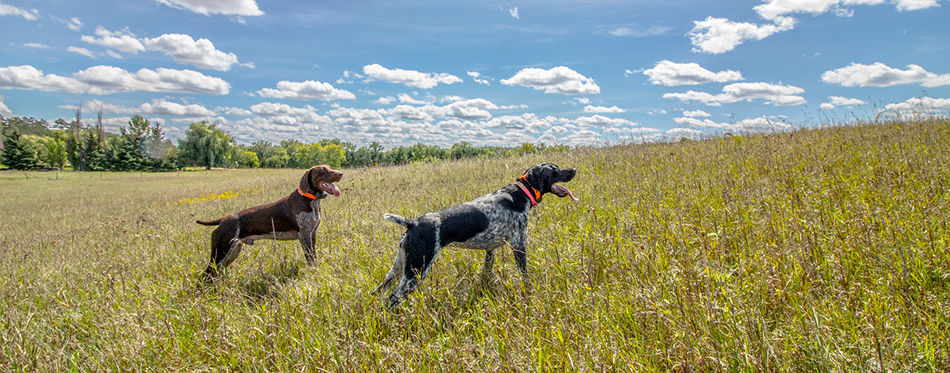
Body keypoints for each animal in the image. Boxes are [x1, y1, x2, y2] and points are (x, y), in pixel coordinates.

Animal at [196, 165, 342, 276]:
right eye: (323, 170)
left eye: (330, 167)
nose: (340, 173)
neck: (311, 200)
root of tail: (223, 220)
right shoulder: (304, 235)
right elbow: (310, 259)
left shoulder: (312, 234)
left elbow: (314, 256)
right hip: (221, 252)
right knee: (206, 274)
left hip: (233, 251)